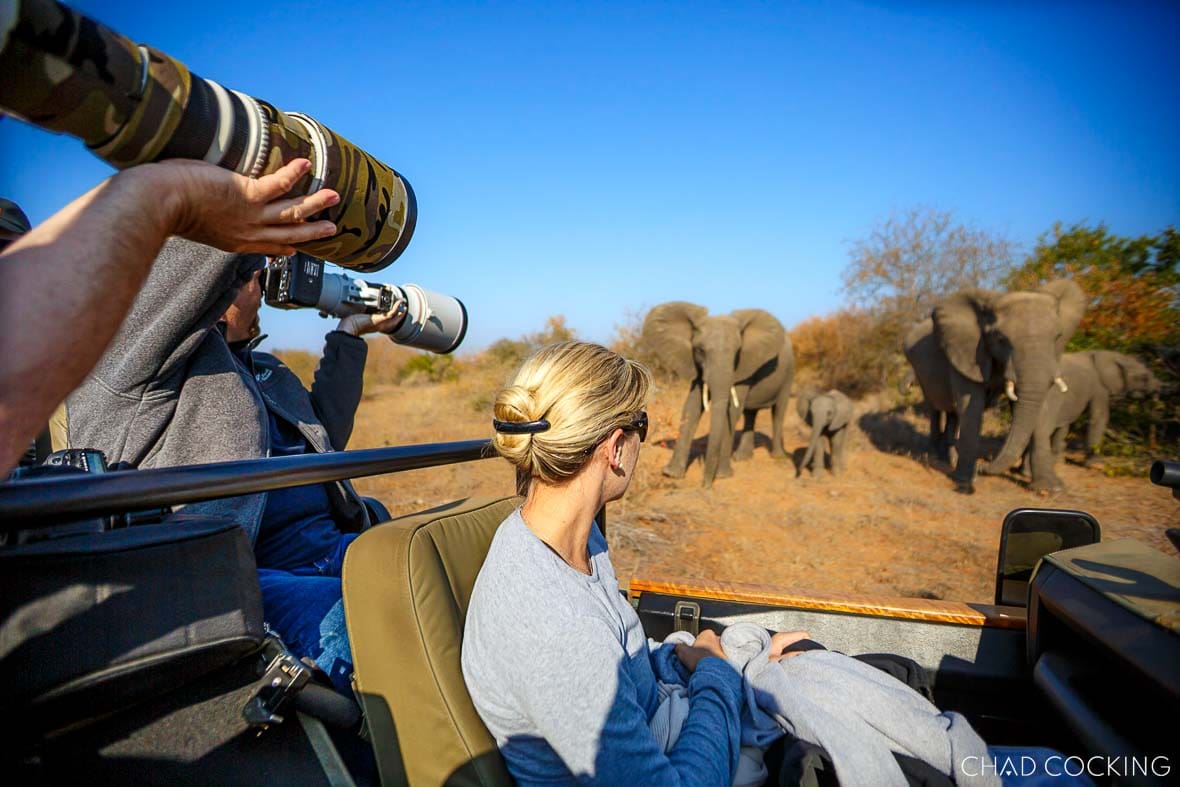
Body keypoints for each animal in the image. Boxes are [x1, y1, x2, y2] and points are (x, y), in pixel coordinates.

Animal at [641, 302, 794, 488]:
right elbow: (692, 406)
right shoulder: (697, 366)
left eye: (737, 353)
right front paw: (671, 474)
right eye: (700, 351)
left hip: (788, 374)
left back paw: (777, 456)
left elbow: (732, 412)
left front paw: (722, 476)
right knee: (750, 414)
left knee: (778, 411)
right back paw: (742, 458)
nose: (705, 485)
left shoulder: (743, 367)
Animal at [901, 279, 1086, 494]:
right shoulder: (966, 352)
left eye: (1058, 337)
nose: (983, 467)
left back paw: (949, 460)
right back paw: (936, 457)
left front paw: (1051, 488)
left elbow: (1038, 411)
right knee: (936, 408)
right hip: (920, 370)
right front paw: (965, 484)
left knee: (953, 414)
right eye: (1000, 339)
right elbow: (971, 405)